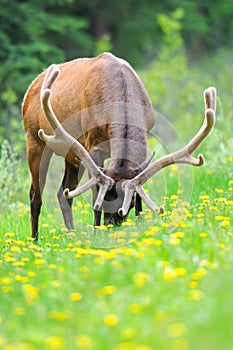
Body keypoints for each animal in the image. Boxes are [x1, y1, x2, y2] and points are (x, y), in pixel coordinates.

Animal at [22, 52, 217, 241]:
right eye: (105, 200)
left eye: (127, 205)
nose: (111, 225)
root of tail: (33, 84)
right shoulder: (92, 146)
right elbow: (94, 194)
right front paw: (96, 233)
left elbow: (140, 195)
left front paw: (139, 224)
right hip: (35, 139)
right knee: (35, 194)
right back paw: (34, 240)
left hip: (71, 153)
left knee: (64, 192)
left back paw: (71, 234)